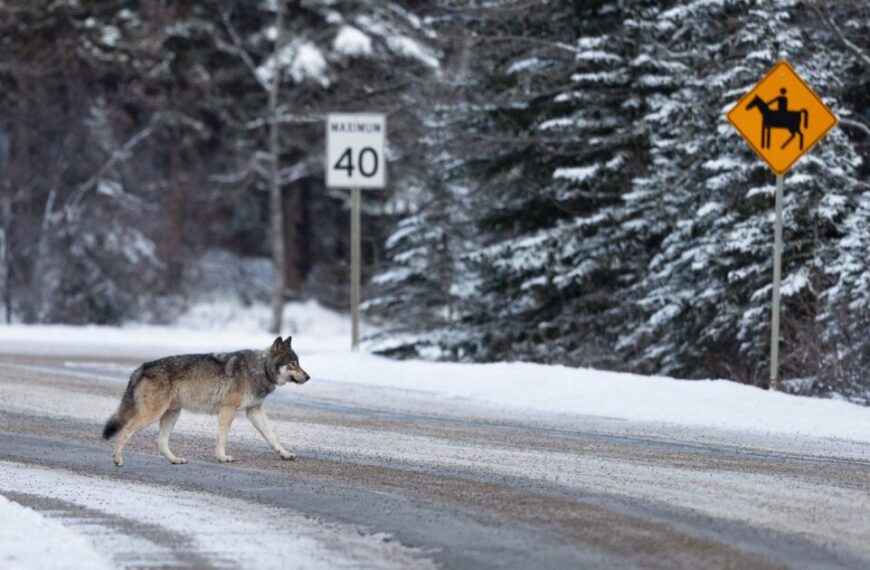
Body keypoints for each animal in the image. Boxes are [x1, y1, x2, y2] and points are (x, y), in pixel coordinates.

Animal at [102, 336, 309, 466]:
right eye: (293, 364)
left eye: (298, 363)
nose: (308, 377)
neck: (261, 368)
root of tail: (141, 367)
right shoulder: (228, 410)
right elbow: (222, 438)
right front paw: (222, 457)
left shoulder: (254, 410)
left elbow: (272, 436)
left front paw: (285, 454)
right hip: (153, 415)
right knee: (126, 431)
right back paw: (117, 460)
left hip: (172, 414)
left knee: (160, 441)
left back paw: (175, 460)